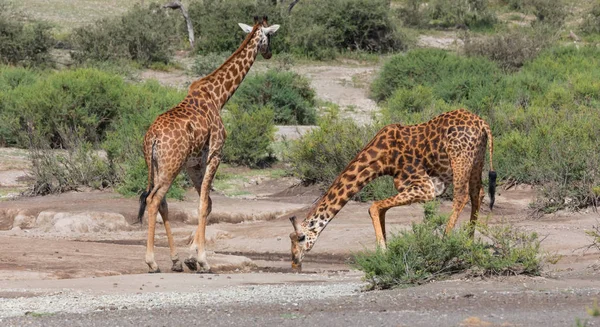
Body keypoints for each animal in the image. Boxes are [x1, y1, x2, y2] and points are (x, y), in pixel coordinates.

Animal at [137, 16, 280, 274]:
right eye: (270, 37)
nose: (269, 53)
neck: (218, 96)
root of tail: (151, 138)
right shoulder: (215, 153)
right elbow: (204, 204)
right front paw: (202, 260)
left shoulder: (193, 164)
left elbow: (208, 203)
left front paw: (190, 257)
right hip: (171, 166)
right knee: (153, 201)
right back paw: (152, 262)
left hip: (157, 166)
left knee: (161, 202)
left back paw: (174, 261)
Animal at [288, 110, 494, 272]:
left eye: (301, 237)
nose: (294, 263)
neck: (382, 158)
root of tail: (482, 123)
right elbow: (380, 209)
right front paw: (385, 251)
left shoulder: (425, 187)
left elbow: (373, 206)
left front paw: (382, 252)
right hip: (477, 159)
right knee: (478, 193)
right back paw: (468, 242)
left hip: (460, 158)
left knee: (461, 196)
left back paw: (446, 242)